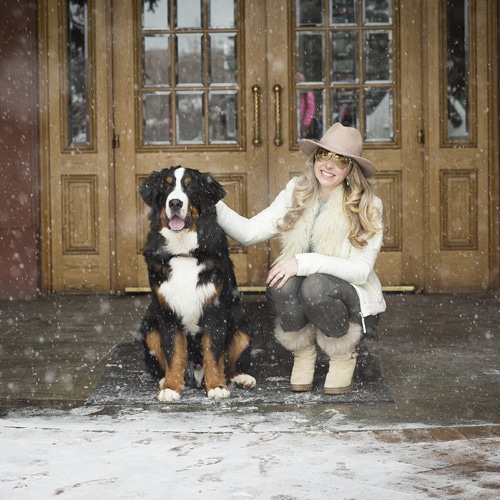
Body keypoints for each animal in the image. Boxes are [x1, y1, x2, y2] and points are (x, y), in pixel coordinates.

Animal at [137, 166, 256, 400]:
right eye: (166, 186)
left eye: (190, 186)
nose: (175, 203)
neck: (184, 251)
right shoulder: (167, 312)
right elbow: (174, 352)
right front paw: (171, 387)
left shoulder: (215, 308)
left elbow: (213, 352)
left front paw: (217, 386)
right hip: (149, 327)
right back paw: (165, 379)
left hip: (242, 325)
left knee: (231, 365)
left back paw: (243, 378)